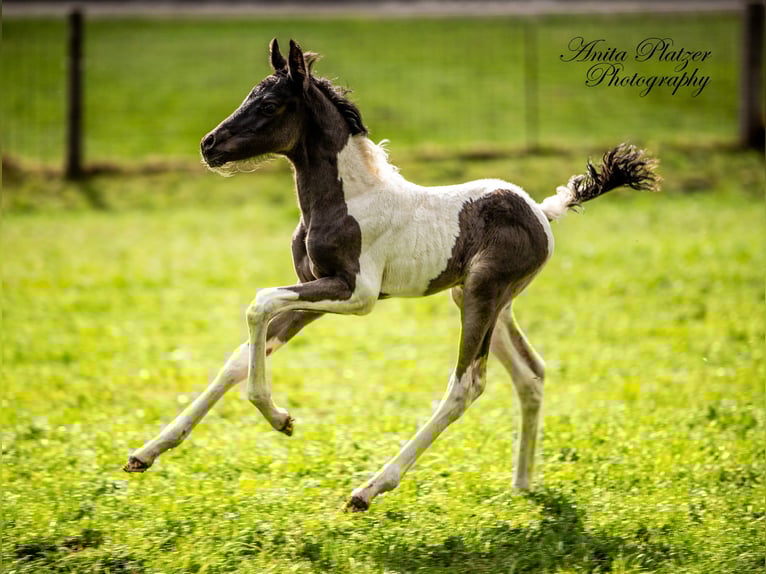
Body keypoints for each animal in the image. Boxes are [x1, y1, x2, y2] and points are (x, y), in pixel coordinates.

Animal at [124, 39, 659, 512]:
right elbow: (241, 353)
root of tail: (543, 212)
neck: (348, 200)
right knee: (531, 373)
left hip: (483, 295)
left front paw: (280, 419)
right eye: (248, 95)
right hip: (483, 299)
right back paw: (523, 484)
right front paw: (147, 453)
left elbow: (259, 302)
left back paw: (368, 489)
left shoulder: (355, 294)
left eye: (271, 104)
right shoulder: (315, 296)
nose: (208, 145)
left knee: (466, 384)